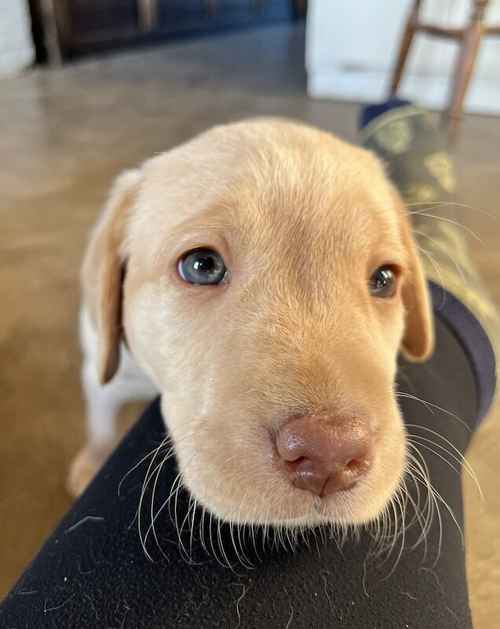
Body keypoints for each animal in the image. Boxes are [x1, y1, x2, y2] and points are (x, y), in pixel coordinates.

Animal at [67, 118, 434, 528]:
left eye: (384, 279)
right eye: (202, 266)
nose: (329, 455)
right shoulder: (105, 370)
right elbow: (100, 419)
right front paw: (93, 462)